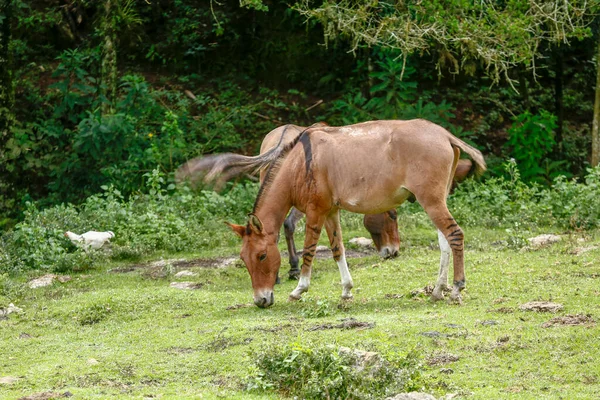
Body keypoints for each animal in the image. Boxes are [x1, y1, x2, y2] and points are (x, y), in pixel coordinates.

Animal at [180, 119, 486, 306]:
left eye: (262, 256)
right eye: (243, 259)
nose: (261, 301)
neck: (299, 163)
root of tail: (443, 133)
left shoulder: (315, 212)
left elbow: (309, 250)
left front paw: (299, 289)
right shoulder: (330, 212)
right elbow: (338, 248)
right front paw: (346, 290)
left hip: (431, 201)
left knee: (454, 235)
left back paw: (456, 288)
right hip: (435, 200)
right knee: (444, 243)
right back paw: (437, 291)